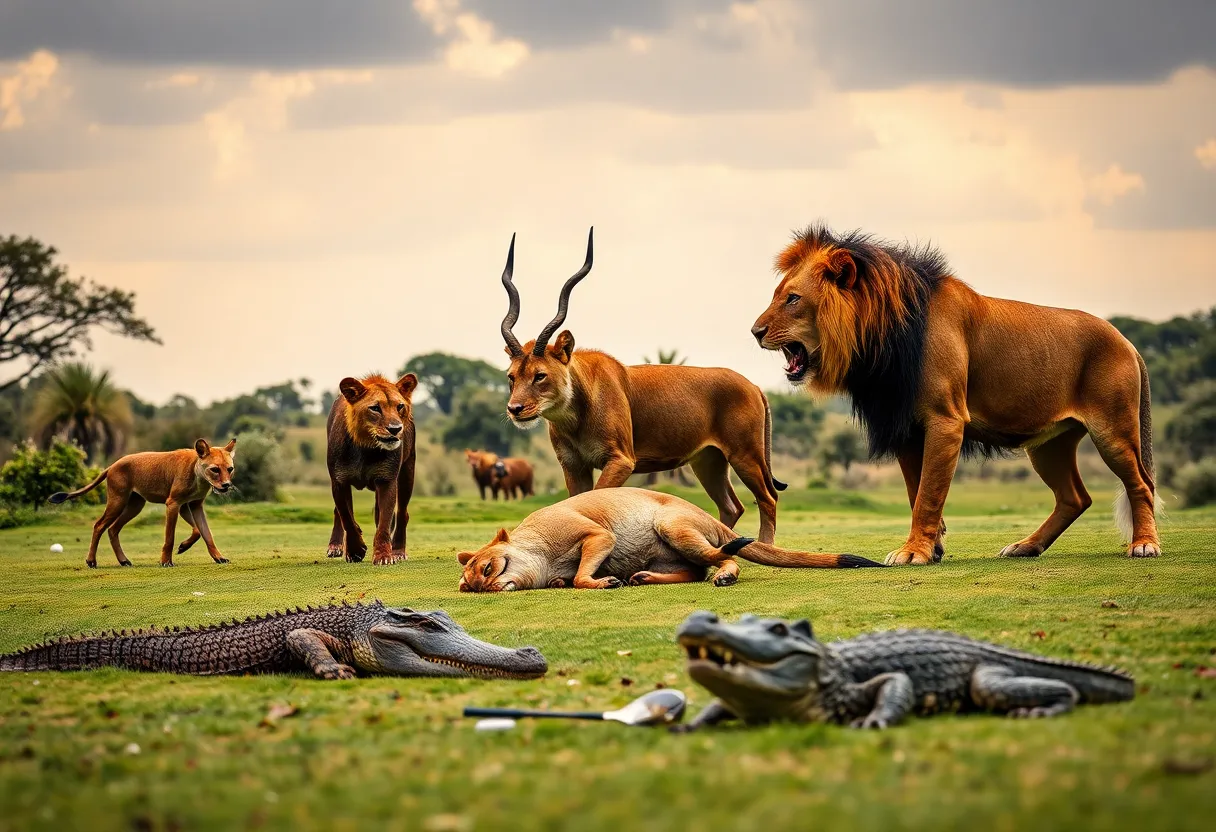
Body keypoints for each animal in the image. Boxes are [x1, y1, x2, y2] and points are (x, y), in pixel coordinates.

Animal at [48, 439, 237, 568]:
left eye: (230, 469)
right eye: (214, 469)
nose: (226, 485)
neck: (198, 473)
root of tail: (112, 465)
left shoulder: (192, 506)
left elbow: (203, 533)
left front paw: (214, 556)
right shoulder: (173, 503)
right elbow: (170, 537)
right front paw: (166, 561)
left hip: (135, 505)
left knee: (113, 529)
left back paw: (124, 560)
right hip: (118, 501)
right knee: (99, 526)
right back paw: (91, 561)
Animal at [326, 373, 418, 565]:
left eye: (399, 406)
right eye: (375, 408)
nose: (395, 429)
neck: (366, 447)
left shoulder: (386, 480)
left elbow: (384, 522)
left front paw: (383, 556)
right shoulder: (339, 481)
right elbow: (346, 517)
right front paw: (355, 550)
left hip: (408, 471)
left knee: (401, 513)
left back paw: (398, 551)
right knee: (340, 513)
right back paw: (336, 546)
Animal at [750, 224, 1160, 564]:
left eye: (792, 299)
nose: (755, 331)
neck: (883, 337)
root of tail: (1127, 341)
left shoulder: (945, 420)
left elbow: (928, 494)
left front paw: (913, 552)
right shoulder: (906, 428)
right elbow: (916, 492)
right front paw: (931, 549)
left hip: (1112, 431)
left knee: (1141, 484)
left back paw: (1144, 545)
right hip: (1047, 445)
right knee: (1075, 497)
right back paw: (1026, 546)